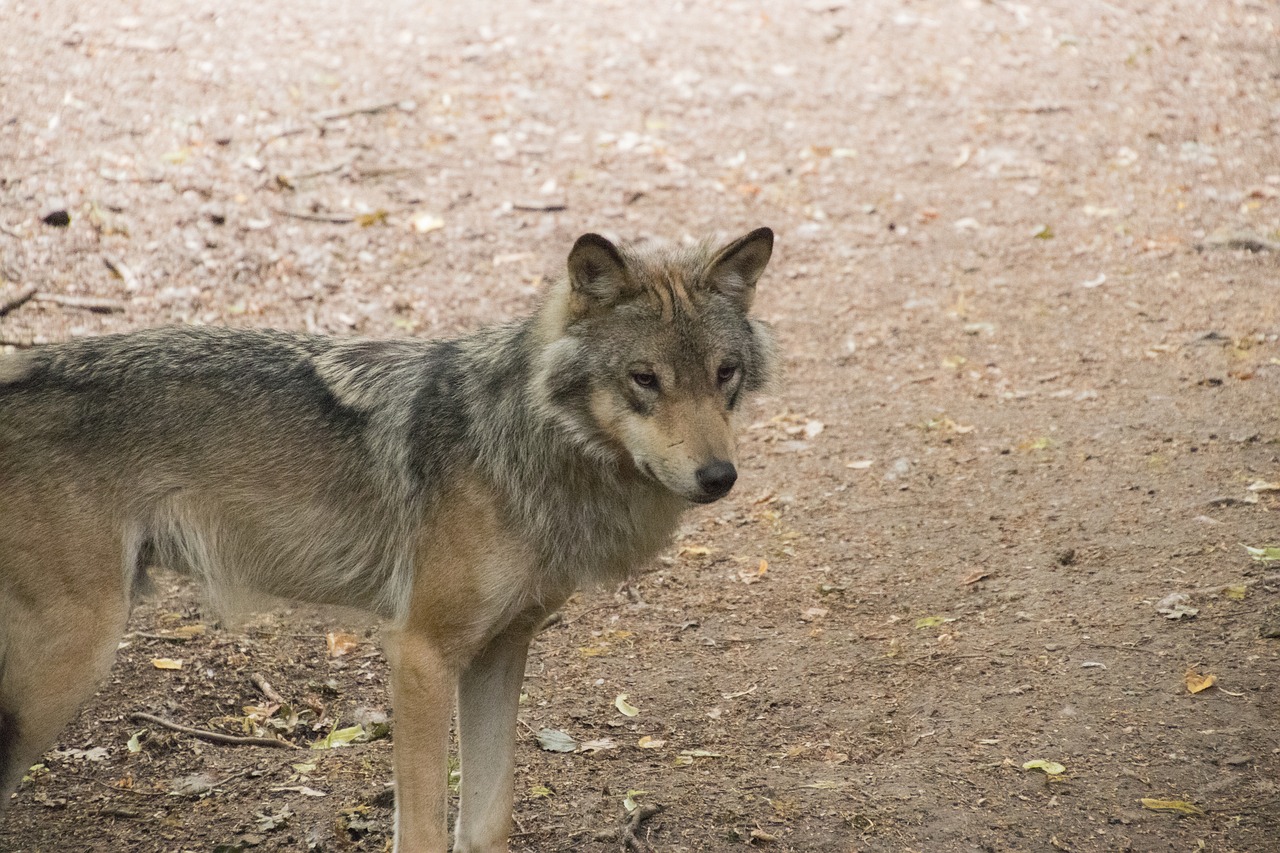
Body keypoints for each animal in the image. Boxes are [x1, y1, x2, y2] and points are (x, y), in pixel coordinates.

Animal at [0, 227, 778, 850]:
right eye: (644, 379)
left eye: (725, 374)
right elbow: (425, 830)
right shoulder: (419, 654)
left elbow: (487, 821)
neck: (523, 448)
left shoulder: (499, 653)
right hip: (66, 664)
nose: (719, 476)